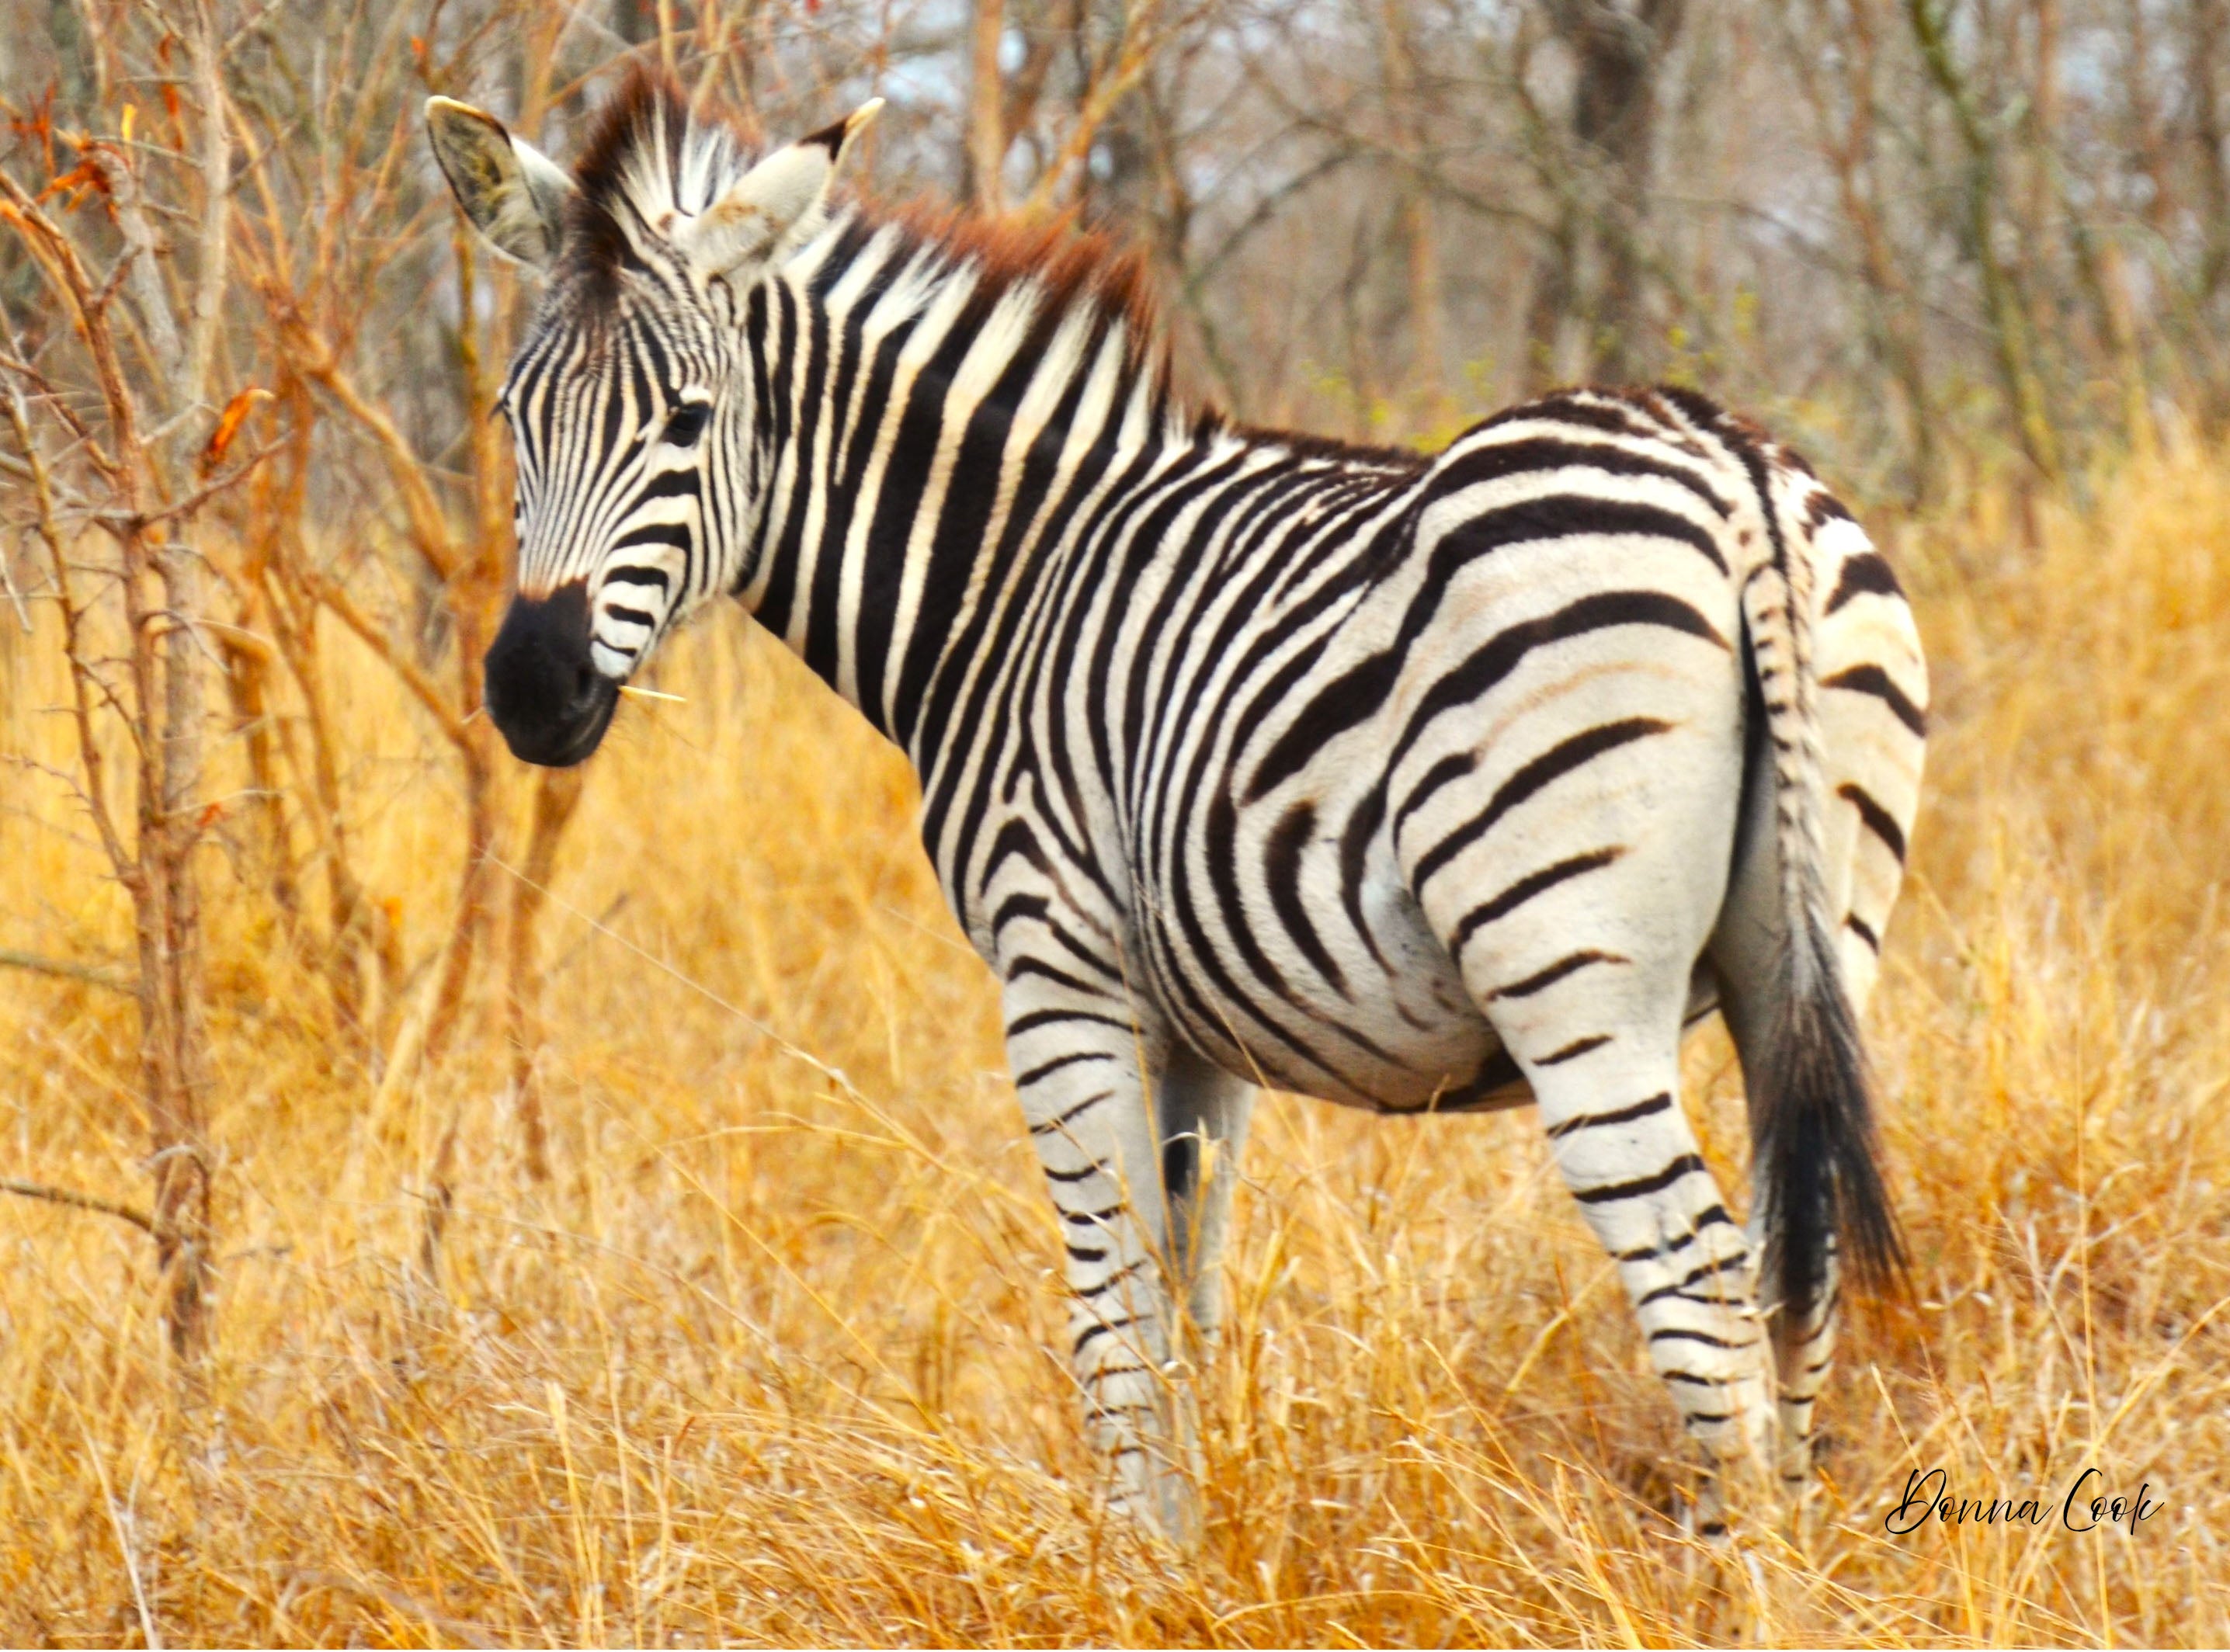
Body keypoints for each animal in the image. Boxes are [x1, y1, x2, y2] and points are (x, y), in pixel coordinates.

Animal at [427, 71, 1927, 1540]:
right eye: (510, 417)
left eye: (686, 421)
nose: (530, 689)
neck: (1011, 585)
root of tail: (1730, 467)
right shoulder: (1205, 1031)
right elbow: (1185, 1293)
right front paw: (1200, 1552)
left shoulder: (1058, 973)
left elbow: (1110, 1296)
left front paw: (1130, 1558)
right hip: (1808, 956)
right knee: (1794, 1264)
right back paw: (1803, 1563)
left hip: (1567, 966)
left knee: (1702, 1276)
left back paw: (1731, 1574)